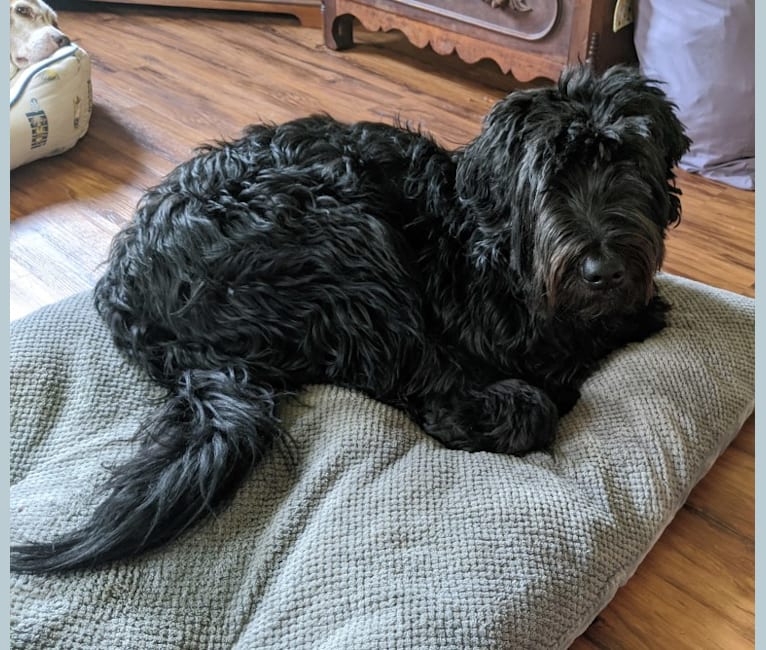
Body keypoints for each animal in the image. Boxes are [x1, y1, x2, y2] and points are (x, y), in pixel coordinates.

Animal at [9, 64, 692, 572]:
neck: (494, 242)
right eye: (550, 176)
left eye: (629, 164)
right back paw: (501, 405)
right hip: (347, 237)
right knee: (426, 384)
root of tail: (132, 294)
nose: (603, 269)